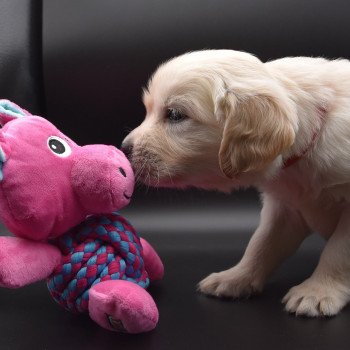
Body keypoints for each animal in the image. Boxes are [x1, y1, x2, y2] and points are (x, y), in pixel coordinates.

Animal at [122, 50, 350, 318]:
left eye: (175, 115)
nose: (124, 148)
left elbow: (337, 251)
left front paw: (317, 291)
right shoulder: (284, 208)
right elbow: (262, 243)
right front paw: (235, 278)